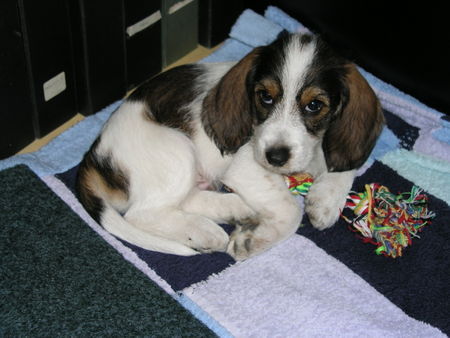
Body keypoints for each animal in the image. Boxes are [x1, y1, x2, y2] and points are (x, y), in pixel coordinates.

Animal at [76, 34, 384, 260]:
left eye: (314, 105)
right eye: (265, 97)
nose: (275, 157)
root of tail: (95, 153)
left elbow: (346, 165)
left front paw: (325, 201)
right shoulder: (247, 166)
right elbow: (290, 209)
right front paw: (255, 241)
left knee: (183, 201)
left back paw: (235, 209)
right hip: (178, 151)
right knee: (141, 214)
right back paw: (206, 230)